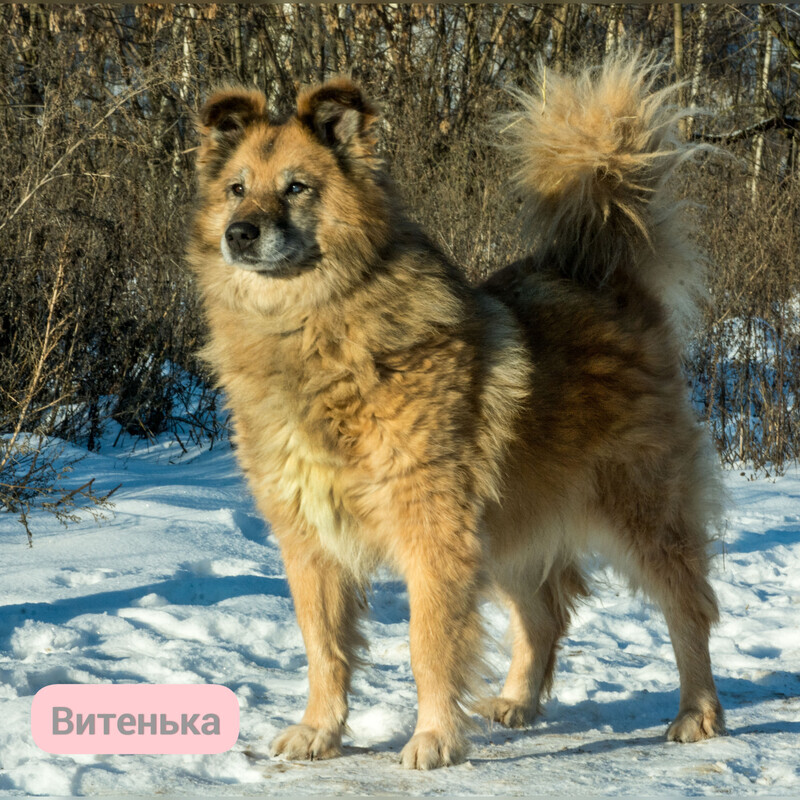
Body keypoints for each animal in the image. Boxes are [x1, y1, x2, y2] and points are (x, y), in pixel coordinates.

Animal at [186, 56, 724, 768]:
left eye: (297, 187)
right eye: (236, 189)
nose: (239, 233)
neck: (317, 331)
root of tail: (607, 277)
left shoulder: (433, 529)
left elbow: (430, 644)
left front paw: (434, 738)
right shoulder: (310, 539)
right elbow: (323, 648)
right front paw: (320, 730)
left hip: (640, 508)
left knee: (687, 608)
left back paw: (697, 712)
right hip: (514, 518)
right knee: (544, 613)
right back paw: (519, 701)